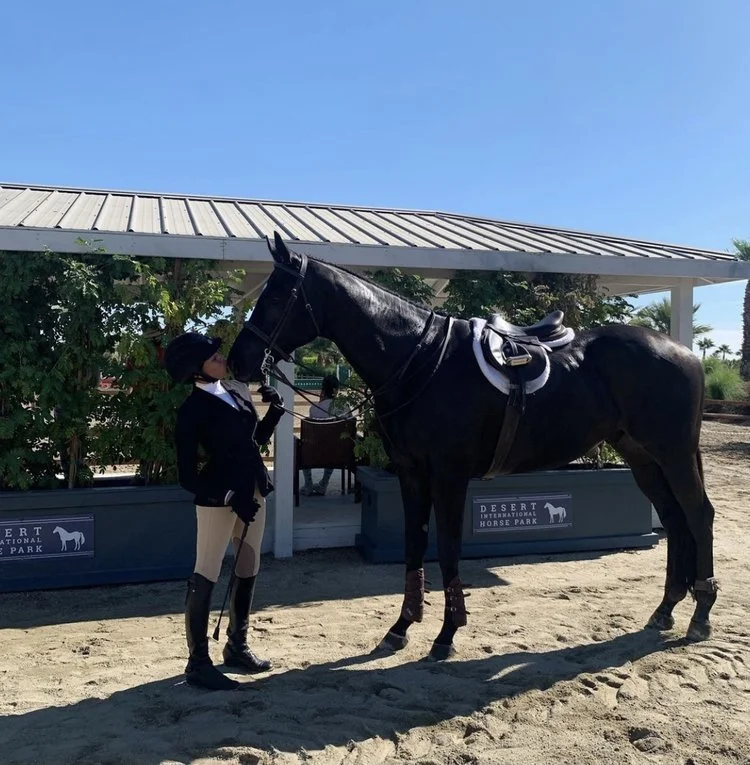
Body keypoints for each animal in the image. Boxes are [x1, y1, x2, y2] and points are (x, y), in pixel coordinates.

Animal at [227, 232, 718, 660]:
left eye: (276, 297)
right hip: (642, 457)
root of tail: (683, 351)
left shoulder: (449, 475)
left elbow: (447, 548)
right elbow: (414, 543)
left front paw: (447, 633)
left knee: (697, 514)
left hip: (672, 454)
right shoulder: (410, 474)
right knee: (674, 519)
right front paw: (401, 627)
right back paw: (666, 609)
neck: (419, 359)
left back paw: (701, 614)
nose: (238, 360)